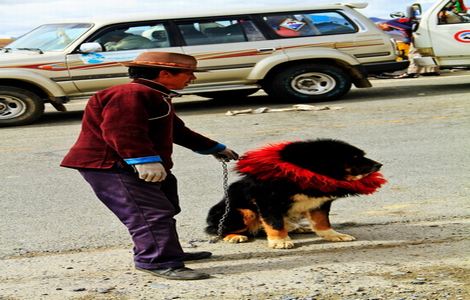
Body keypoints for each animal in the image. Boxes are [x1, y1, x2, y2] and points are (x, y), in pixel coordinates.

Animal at [206, 139, 386, 250]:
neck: (306, 172)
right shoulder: (268, 200)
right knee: (217, 229)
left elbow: (323, 222)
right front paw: (280, 241)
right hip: (244, 212)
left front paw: (334, 235)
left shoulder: (320, 202)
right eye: (355, 157)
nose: (379, 165)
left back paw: (296, 227)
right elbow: (274, 223)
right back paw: (234, 236)